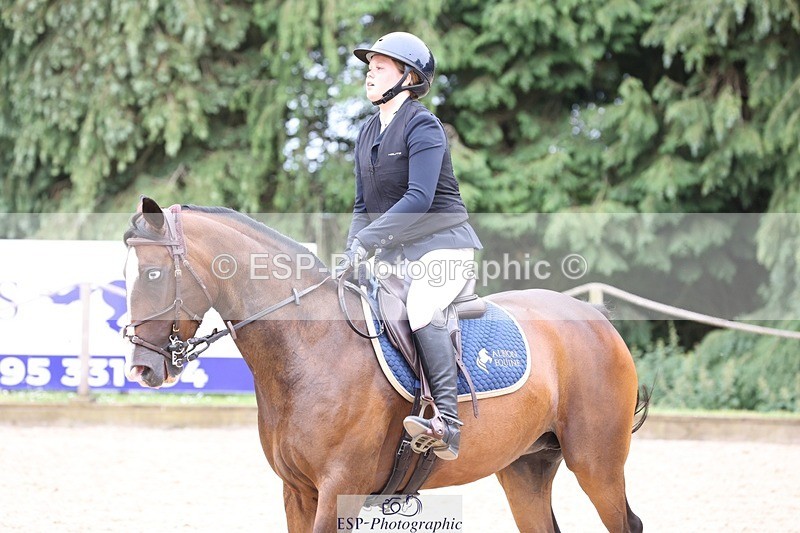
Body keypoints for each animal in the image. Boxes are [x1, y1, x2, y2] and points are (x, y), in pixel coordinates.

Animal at [123, 197, 649, 532]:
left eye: (153, 274)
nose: (142, 369)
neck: (309, 347)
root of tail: (594, 317)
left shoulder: (339, 490)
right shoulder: (298, 492)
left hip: (597, 463)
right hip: (525, 468)